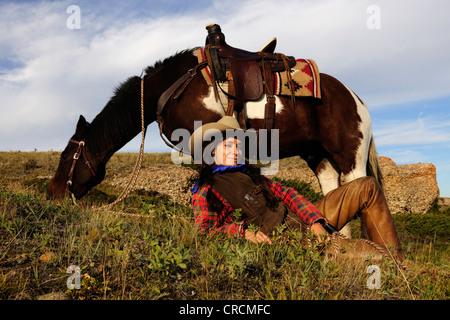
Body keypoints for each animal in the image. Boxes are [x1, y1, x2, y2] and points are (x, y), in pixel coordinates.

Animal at [47, 47, 382, 202]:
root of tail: (356, 98)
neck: (168, 89)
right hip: (318, 156)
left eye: (65, 156)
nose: (51, 194)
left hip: (350, 157)